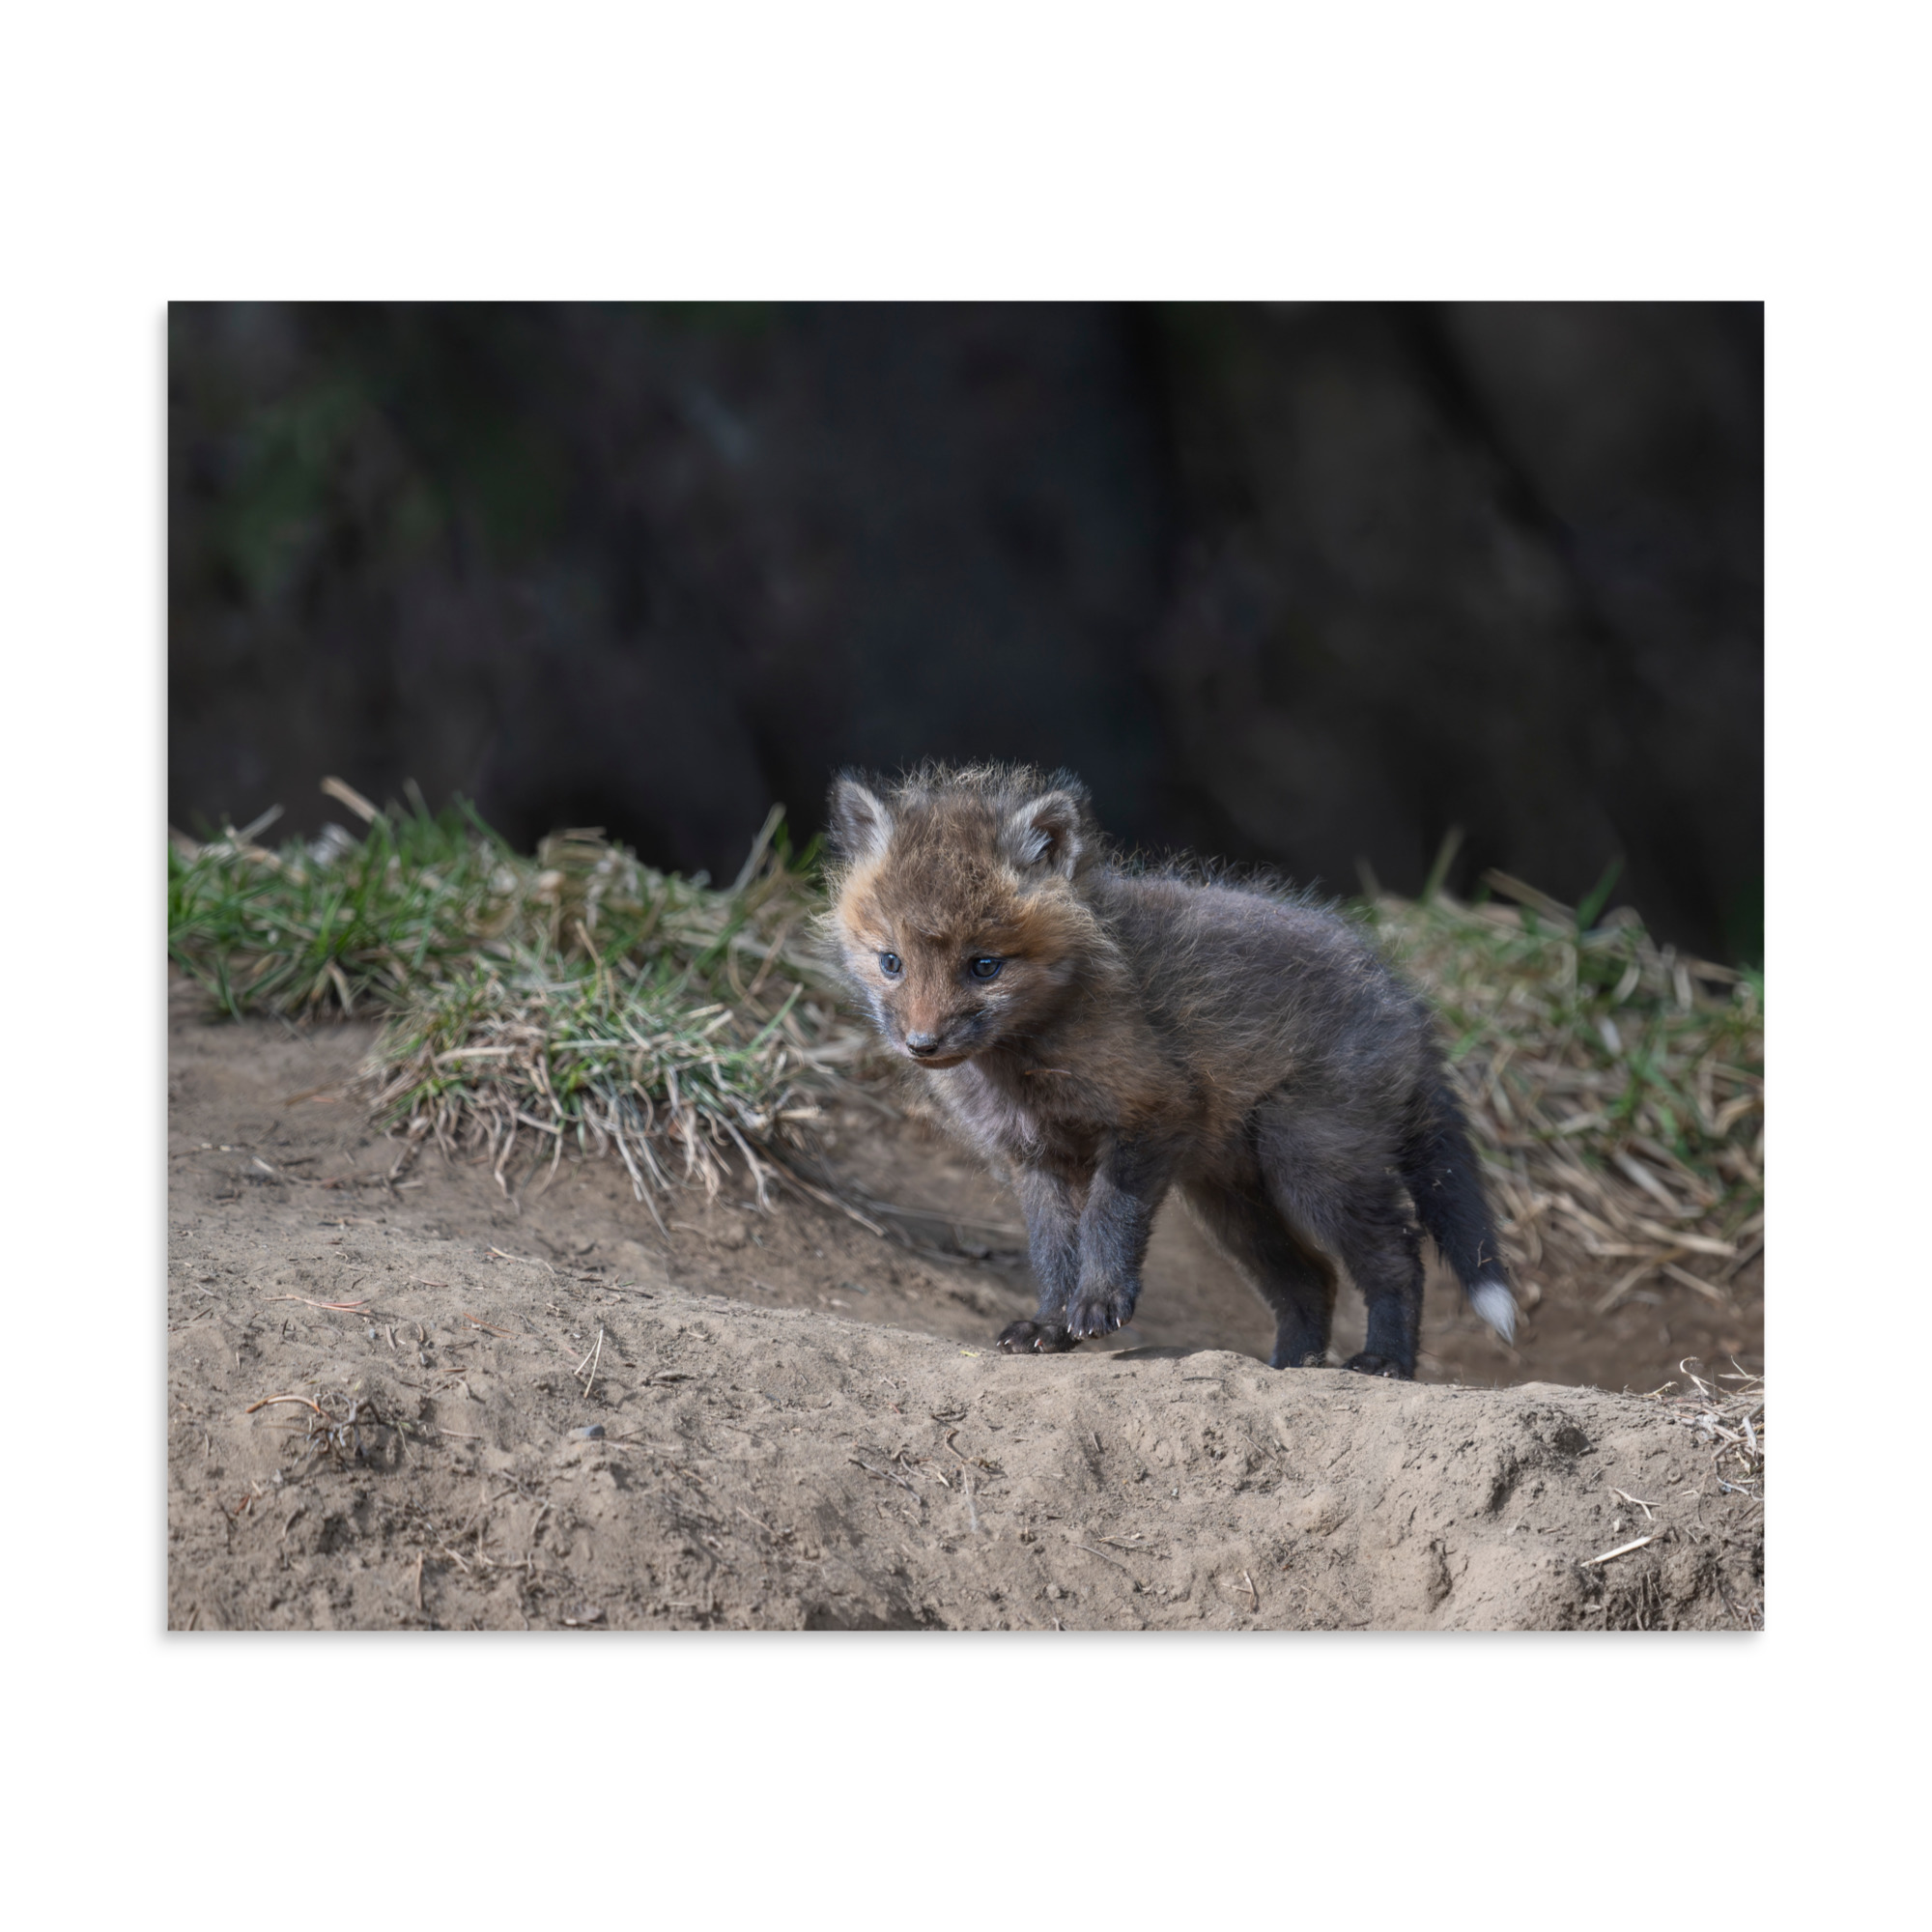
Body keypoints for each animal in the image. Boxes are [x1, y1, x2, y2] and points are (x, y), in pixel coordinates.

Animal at [821, 762, 1517, 1378]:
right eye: (891, 962)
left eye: (984, 966)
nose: (922, 1044)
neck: (1026, 1064)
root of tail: (1405, 1000)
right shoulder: (1035, 1156)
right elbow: (1052, 1251)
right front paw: (1049, 1324)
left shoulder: (1152, 1112)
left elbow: (1108, 1219)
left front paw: (1099, 1303)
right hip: (1232, 1201)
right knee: (1311, 1279)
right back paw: (1291, 1366)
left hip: (1312, 1166)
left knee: (1398, 1257)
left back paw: (1385, 1361)